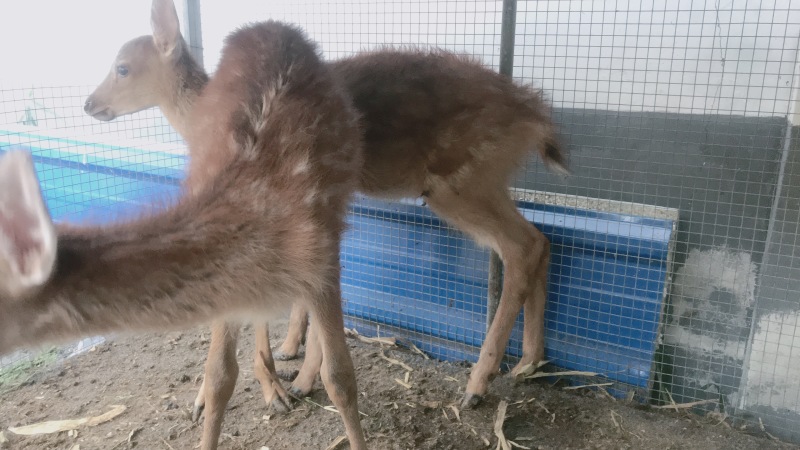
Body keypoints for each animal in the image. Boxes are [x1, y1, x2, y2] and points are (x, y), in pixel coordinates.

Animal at [2, 21, 368, 450]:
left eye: (122, 67)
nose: (89, 104)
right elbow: (221, 376)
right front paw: (234, 394)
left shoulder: (320, 258)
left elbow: (341, 377)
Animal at [84, 0, 568, 440]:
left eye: (122, 67)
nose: (90, 103)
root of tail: (538, 118)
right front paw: (286, 359)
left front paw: (284, 383)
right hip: (486, 181)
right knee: (540, 239)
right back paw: (529, 361)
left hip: (459, 181)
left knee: (520, 247)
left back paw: (478, 384)